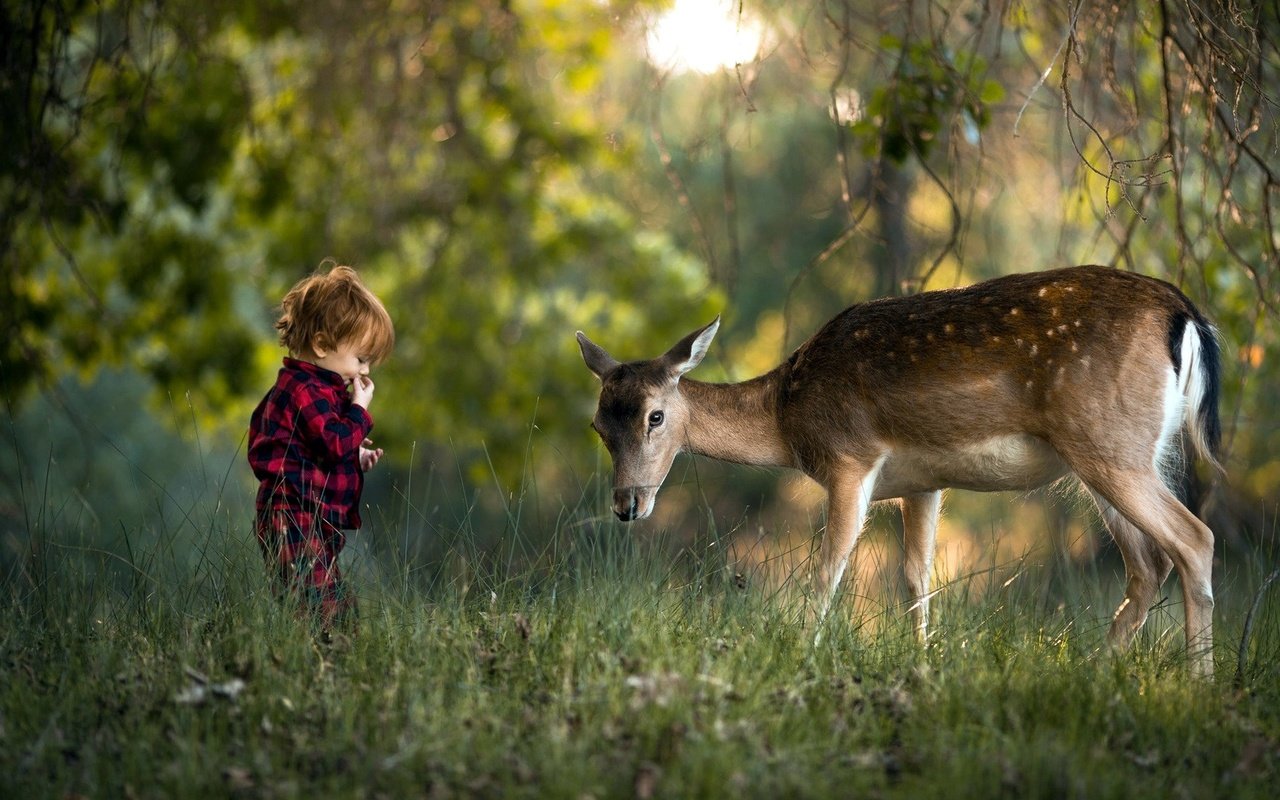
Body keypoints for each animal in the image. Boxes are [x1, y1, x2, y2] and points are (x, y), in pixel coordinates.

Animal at [578, 266, 1218, 675]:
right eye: (598, 426)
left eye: (656, 416)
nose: (627, 504)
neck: (788, 415)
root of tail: (1186, 317)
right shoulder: (924, 482)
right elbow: (916, 578)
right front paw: (923, 663)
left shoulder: (850, 458)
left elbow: (829, 570)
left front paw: (804, 654)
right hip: (1116, 454)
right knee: (1149, 564)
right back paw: (1094, 671)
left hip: (1109, 443)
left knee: (1194, 538)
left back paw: (1197, 687)